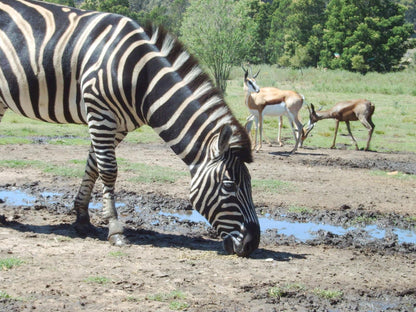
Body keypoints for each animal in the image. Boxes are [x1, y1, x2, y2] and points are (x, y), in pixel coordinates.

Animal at [0, 0, 260, 256]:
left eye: (250, 183)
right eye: (230, 186)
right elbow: (108, 170)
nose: (252, 243)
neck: (143, 80)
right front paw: (115, 229)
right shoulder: (100, 111)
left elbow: (93, 166)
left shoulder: (118, 125)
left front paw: (82, 219)